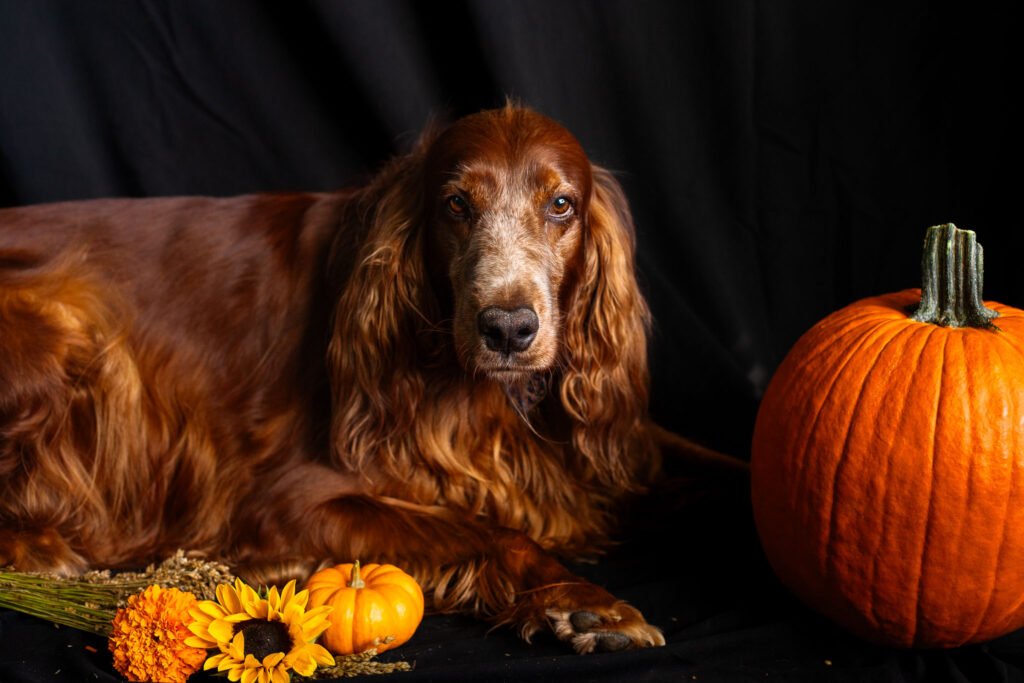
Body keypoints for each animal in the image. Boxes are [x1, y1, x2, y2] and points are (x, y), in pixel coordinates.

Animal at [0, 104, 737, 655]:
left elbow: (721, 463)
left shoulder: (620, 447)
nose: (508, 327)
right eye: (455, 204)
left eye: (561, 204)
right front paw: (585, 605)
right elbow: (494, 531)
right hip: (71, 322)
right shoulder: (286, 501)